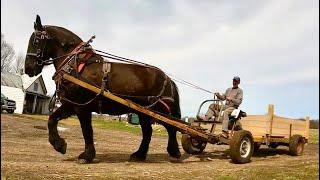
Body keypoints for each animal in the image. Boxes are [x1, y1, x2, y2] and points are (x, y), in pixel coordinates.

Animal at [23, 14, 181, 162]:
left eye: (35, 40)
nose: (28, 68)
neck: (76, 65)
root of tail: (168, 79)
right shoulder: (71, 104)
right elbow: (52, 120)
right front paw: (59, 145)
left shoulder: (82, 107)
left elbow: (87, 130)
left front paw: (86, 155)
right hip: (143, 112)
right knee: (148, 132)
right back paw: (139, 155)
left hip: (159, 111)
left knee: (171, 127)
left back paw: (174, 152)